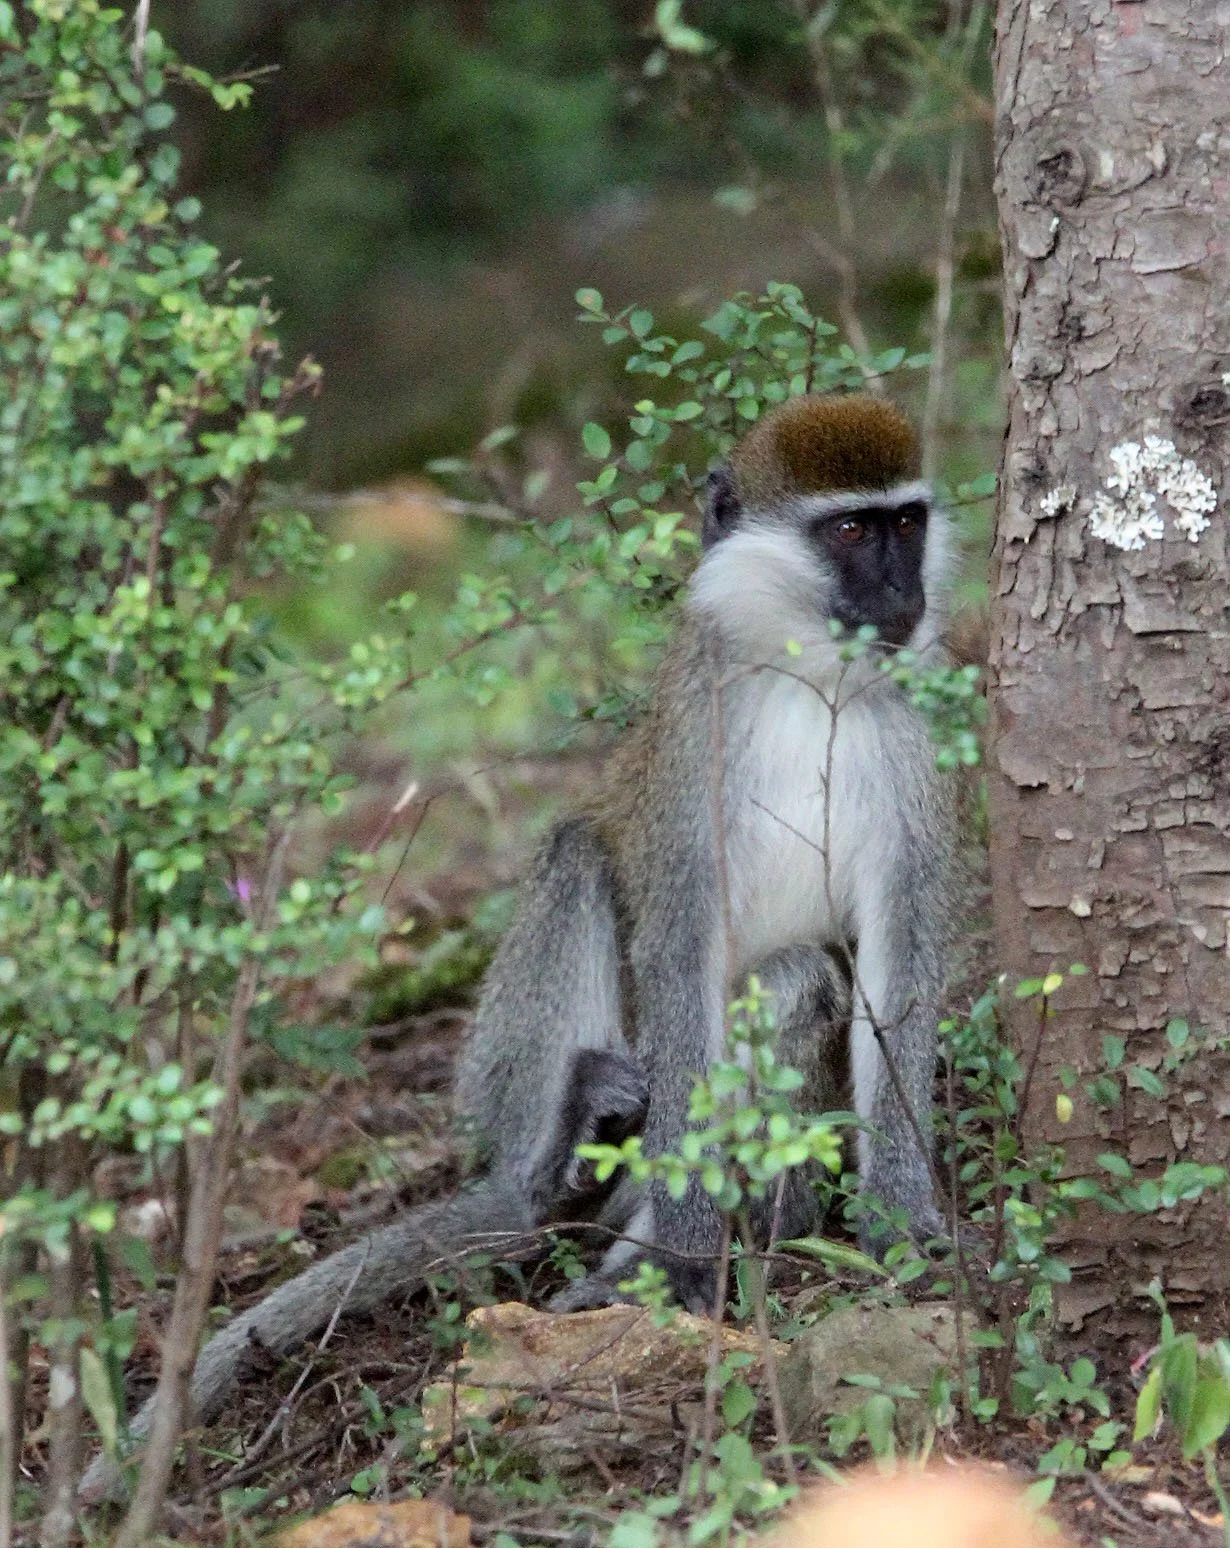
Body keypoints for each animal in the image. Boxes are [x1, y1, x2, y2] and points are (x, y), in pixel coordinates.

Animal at [82, 391, 957, 1496]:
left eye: (905, 525)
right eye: (848, 532)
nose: (902, 594)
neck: (810, 678)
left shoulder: (910, 739)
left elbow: (902, 954)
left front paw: (900, 1219)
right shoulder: (697, 742)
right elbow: (677, 950)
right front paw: (677, 1257)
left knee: (801, 982)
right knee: (579, 861)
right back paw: (557, 1163)